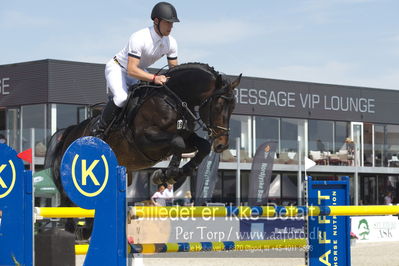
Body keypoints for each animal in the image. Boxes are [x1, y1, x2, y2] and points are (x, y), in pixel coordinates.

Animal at [45, 64, 242, 235]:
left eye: (233, 107)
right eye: (218, 106)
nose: (222, 144)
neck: (174, 100)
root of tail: (70, 131)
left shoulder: (186, 137)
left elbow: (201, 146)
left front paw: (177, 172)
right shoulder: (145, 139)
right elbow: (177, 142)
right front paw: (167, 174)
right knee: (67, 198)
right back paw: (72, 229)